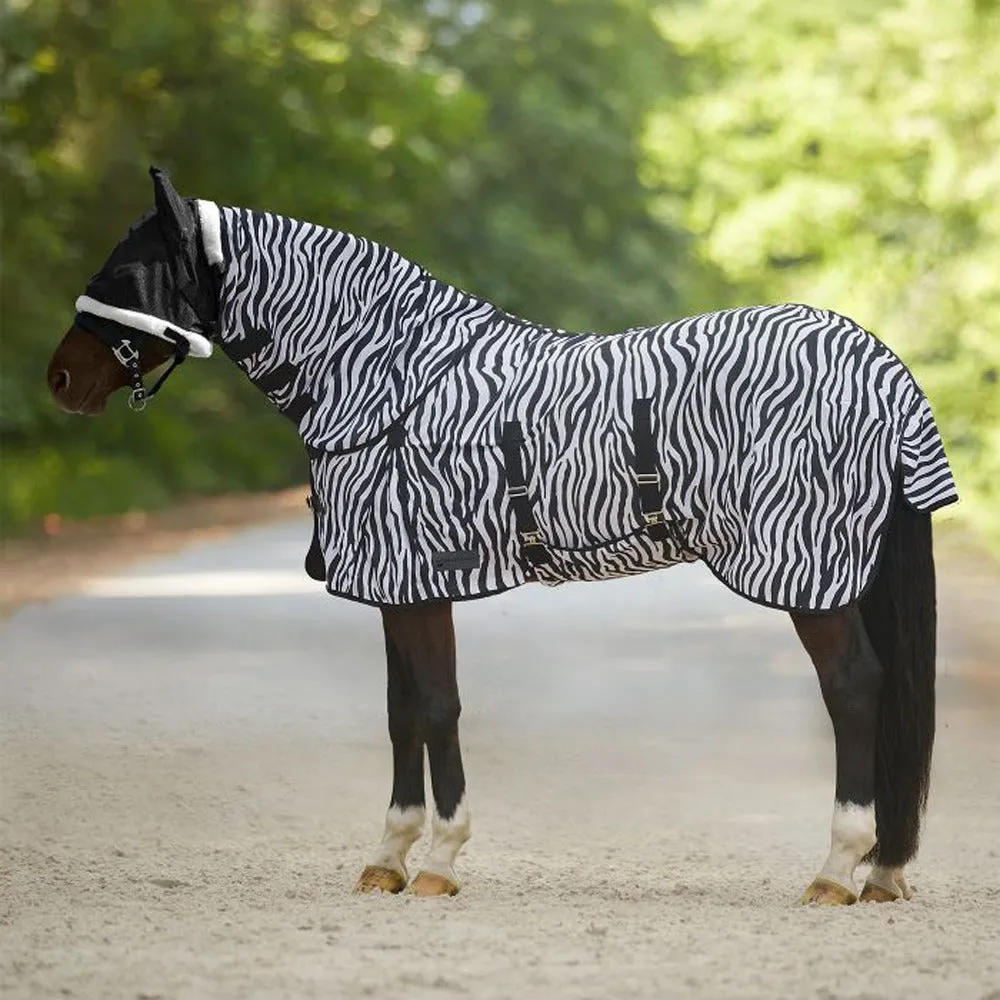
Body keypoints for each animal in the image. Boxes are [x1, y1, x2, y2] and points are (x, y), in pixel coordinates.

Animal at [46, 167, 957, 905]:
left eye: (126, 274)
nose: (58, 380)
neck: (389, 382)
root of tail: (883, 367)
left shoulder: (418, 579)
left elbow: (438, 706)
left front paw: (440, 862)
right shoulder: (398, 583)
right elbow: (402, 711)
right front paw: (388, 859)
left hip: (811, 573)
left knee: (855, 689)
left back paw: (837, 870)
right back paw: (882, 871)